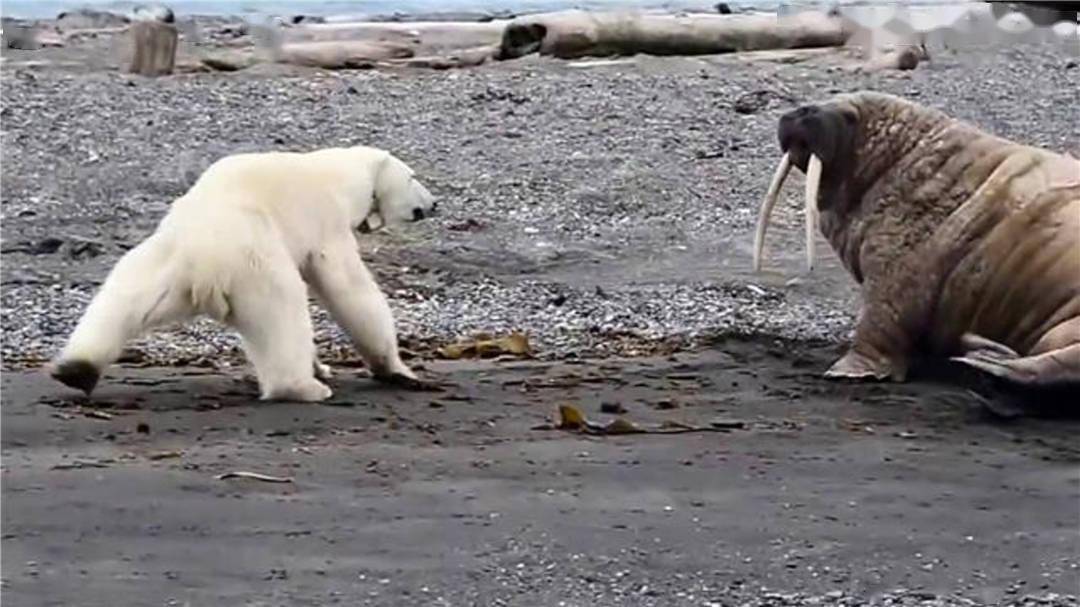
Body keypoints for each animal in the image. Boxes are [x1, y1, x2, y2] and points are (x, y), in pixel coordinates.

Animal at [49, 144, 438, 401]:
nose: (435, 203)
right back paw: (303, 387)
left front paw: (322, 365)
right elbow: (350, 289)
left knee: (121, 302)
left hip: (160, 263)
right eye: (413, 177)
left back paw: (76, 370)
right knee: (284, 310)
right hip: (255, 263)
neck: (337, 176)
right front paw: (397, 370)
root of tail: (202, 266)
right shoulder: (324, 220)